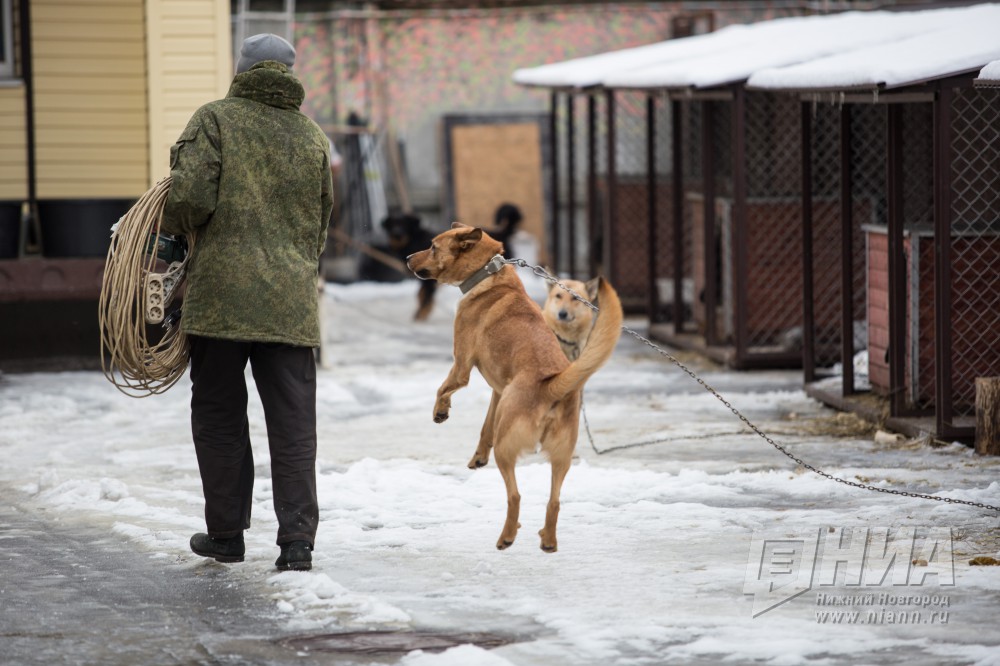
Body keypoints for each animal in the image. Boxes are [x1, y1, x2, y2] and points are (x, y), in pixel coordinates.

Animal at [404, 223, 620, 548]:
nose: (406, 258)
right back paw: (548, 541)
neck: (488, 275)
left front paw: (440, 412)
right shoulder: (498, 392)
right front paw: (478, 457)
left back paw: (506, 537)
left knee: (516, 496)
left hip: (507, 450)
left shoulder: (461, 366)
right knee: (554, 501)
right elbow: (485, 428)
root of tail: (551, 387)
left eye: (432, 247)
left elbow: (443, 388)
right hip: (559, 456)